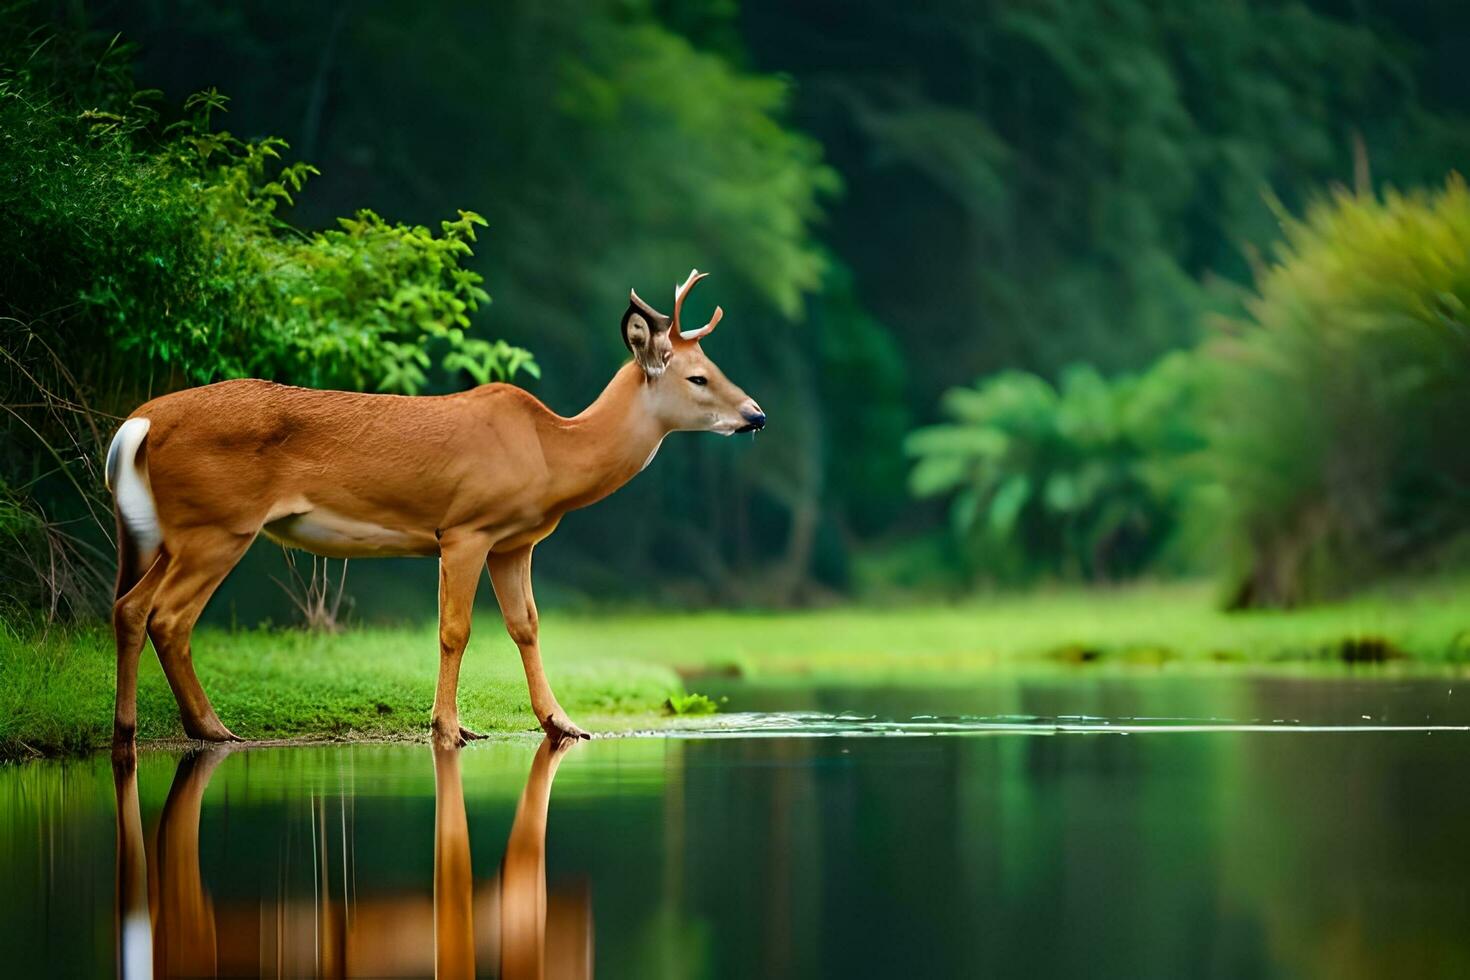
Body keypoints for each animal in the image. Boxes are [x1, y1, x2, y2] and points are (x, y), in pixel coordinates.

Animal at [108, 271, 764, 758]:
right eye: (698, 376)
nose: (755, 414)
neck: (552, 451)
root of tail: (141, 420)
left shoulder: (515, 542)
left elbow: (526, 625)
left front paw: (561, 722)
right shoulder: (467, 527)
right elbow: (456, 629)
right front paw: (450, 728)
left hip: (174, 532)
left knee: (130, 606)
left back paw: (130, 729)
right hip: (220, 524)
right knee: (169, 615)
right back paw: (211, 729)